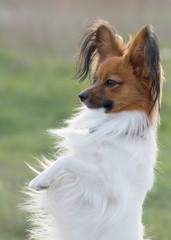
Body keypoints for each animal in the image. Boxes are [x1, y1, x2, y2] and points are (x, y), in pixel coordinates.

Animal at [26, 19, 163, 240]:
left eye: (110, 82)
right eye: (95, 78)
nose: (81, 96)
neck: (114, 130)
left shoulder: (108, 184)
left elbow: (67, 160)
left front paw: (41, 179)